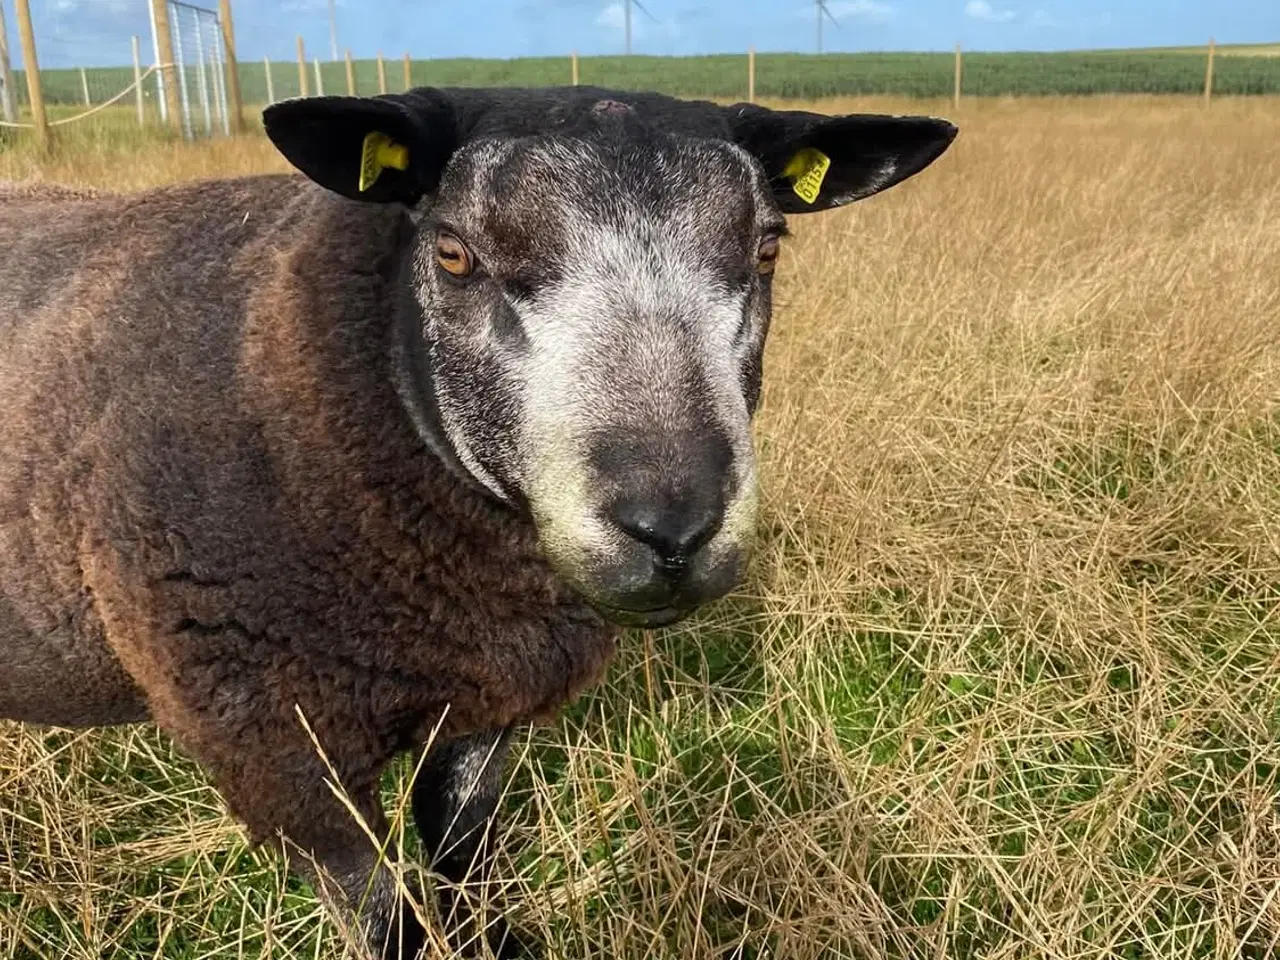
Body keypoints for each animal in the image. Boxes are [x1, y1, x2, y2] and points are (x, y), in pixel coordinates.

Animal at [0, 86, 952, 957]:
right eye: (454, 254)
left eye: (766, 247)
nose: (672, 531)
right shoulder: (278, 752)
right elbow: (388, 922)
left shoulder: (483, 701)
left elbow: (470, 869)